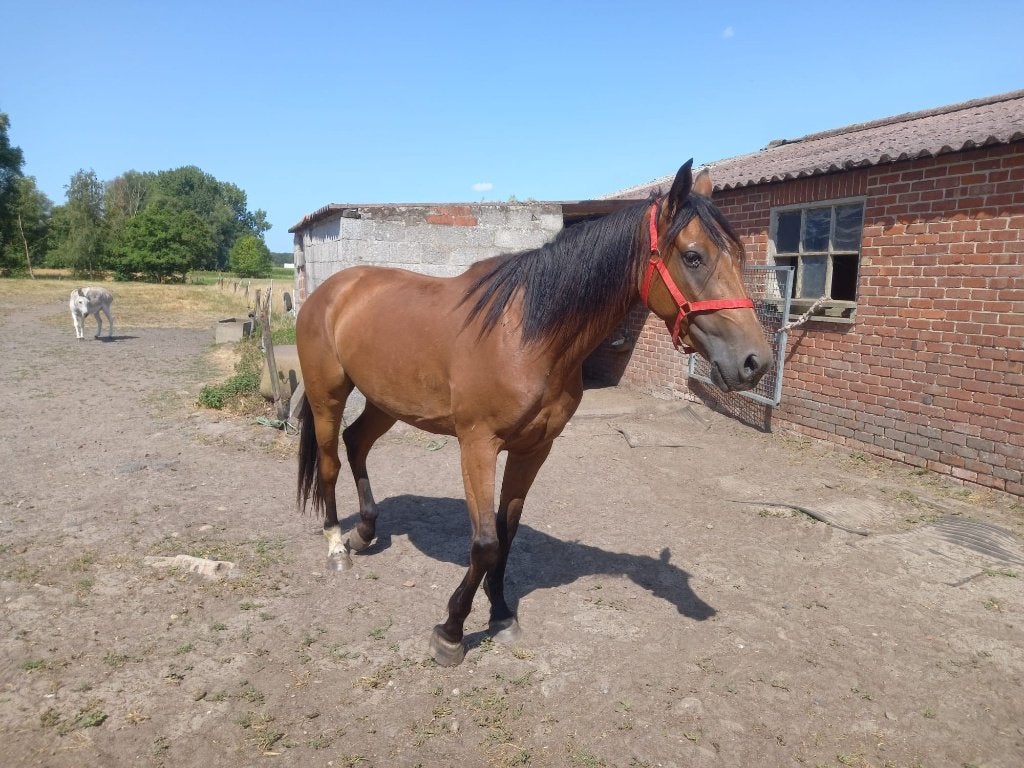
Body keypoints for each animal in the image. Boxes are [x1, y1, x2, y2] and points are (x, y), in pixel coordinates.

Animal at [295, 160, 772, 665]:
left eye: (739, 256)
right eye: (694, 257)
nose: (755, 362)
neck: (527, 335)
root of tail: (331, 290)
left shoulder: (534, 449)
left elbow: (507, 534)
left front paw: (501, 613)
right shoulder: (477, 446)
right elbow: (485, 543)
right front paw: (451, 631)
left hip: (387, 401)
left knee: (356, 444)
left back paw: (364, 533)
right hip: (328, 395)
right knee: (330, 463)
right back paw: (336, 547)